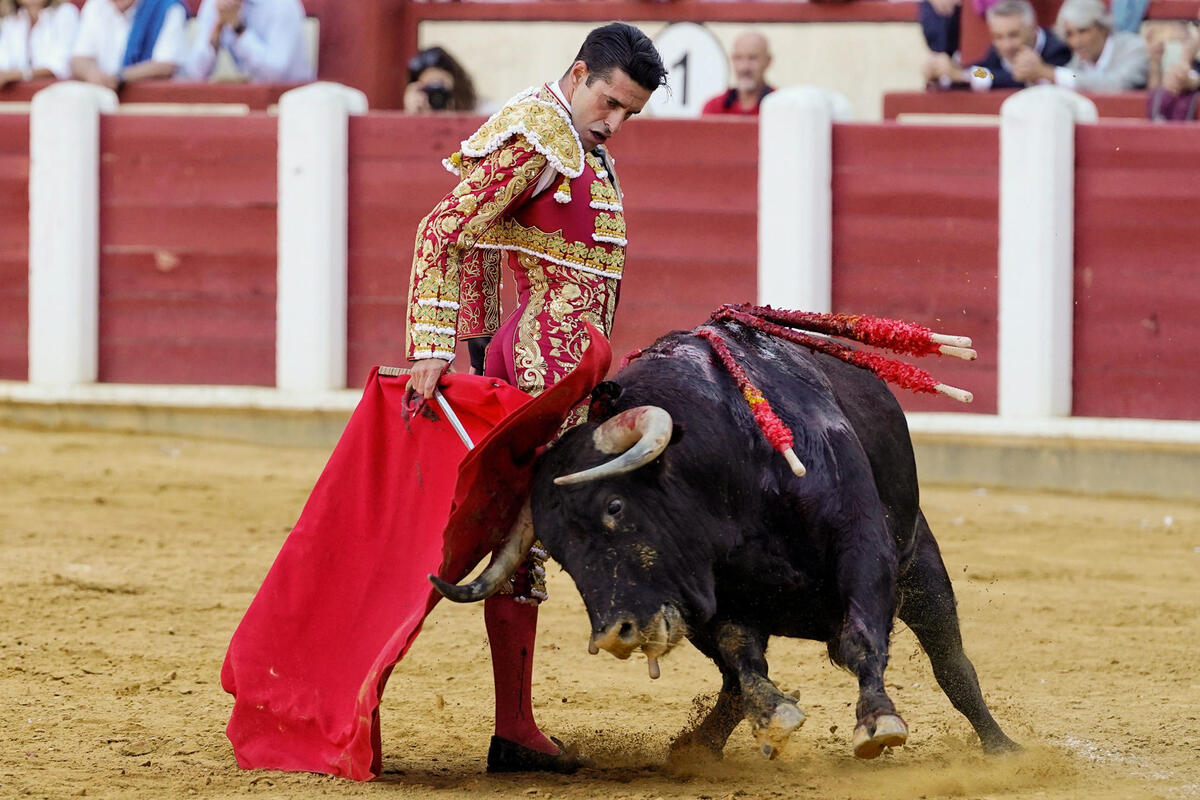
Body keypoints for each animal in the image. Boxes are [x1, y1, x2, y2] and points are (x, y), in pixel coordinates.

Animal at [453, 321, 1017, 762]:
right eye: (562, 555)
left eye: (615, 506)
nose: (616, 633)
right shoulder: (712, 596)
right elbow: (740, 655)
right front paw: (776, 713)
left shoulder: (862, 547)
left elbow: (862, 638)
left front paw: (878, 722)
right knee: (731, 682)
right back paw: (701, 746)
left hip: (920, 562)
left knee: (951, 662)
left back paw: (1002, 747)